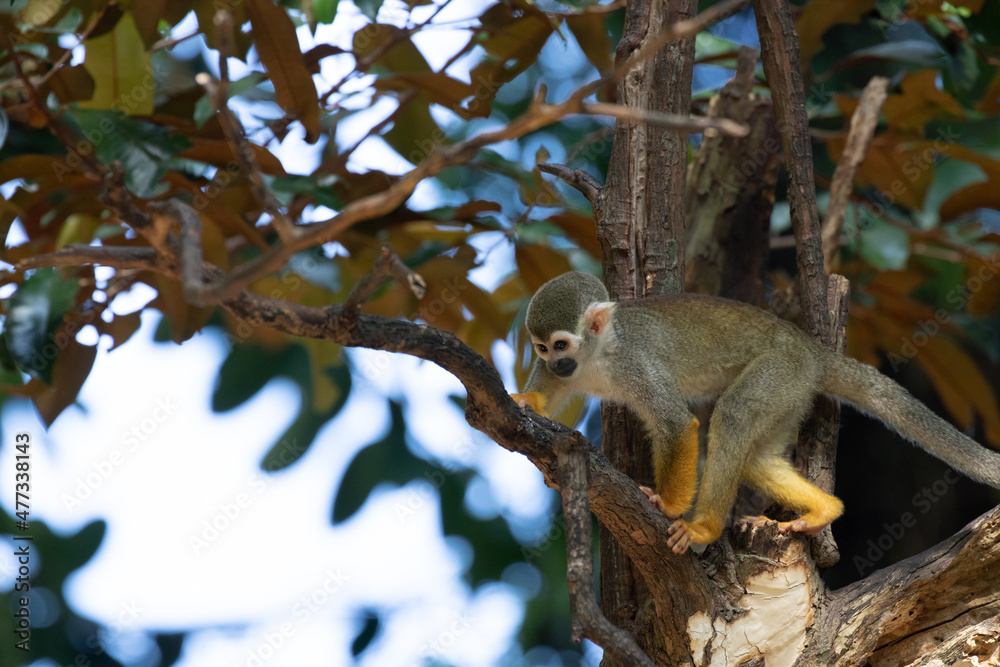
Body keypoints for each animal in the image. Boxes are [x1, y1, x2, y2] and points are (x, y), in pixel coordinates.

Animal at [511, 271, 1000, 554]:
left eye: (561, 344)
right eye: (542, 348)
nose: (558, 362)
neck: (597, 355)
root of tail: (812, 351)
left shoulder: (634, 362)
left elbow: (675, 424)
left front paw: (669, 504)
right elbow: (551, 390)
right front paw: (527, 402)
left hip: (780, 369)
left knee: (734, 415)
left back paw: (706, 528)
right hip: (793, 393)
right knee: (755, 456)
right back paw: (825, 508)